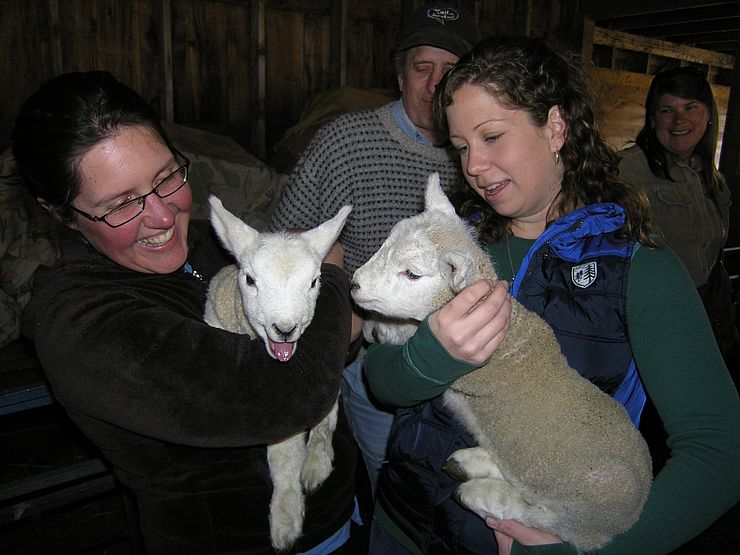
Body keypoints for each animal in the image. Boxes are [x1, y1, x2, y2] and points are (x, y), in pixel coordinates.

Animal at [204, 195, 352, 552]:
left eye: (313, 282)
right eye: (250, 280)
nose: (285, 329)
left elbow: (288, 452)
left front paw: (286, 518)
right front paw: (287, 516)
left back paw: (315, 465)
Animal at [350, 174, 652, 551]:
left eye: (412, 274)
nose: (355, 284)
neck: (509, 339)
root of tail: (637, 505)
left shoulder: (462, 371)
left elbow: (410, 335)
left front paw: (378, 327)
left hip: (589, 506)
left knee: (545, 519)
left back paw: (478, 493)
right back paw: (468, 462)